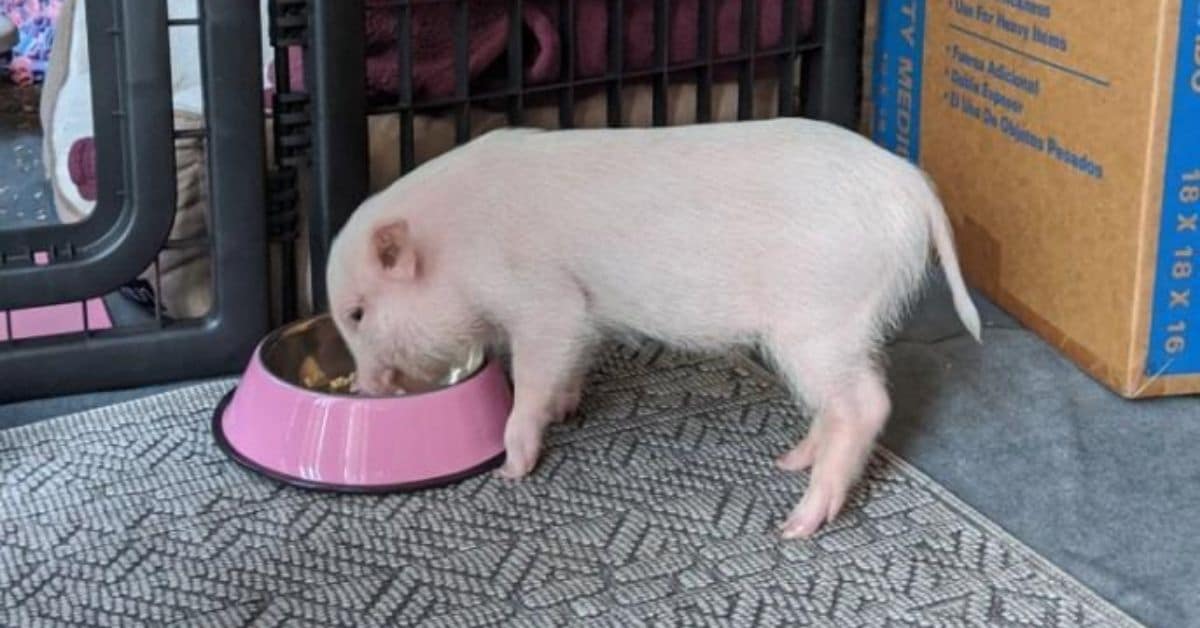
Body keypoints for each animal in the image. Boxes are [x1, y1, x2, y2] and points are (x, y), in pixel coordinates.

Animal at [326, 117, 981, 539]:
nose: (364, 388)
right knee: (844, 397)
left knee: (866, 403)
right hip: (846, 325)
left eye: (357, 313)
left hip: (818, 320)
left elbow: (537, 368)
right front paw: (567, 408)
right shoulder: (582, 314)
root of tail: (912, 185)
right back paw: (788, 461)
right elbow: (571, 361)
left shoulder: (544, 299)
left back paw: (795, 525)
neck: (457, 244)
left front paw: (513, 469)